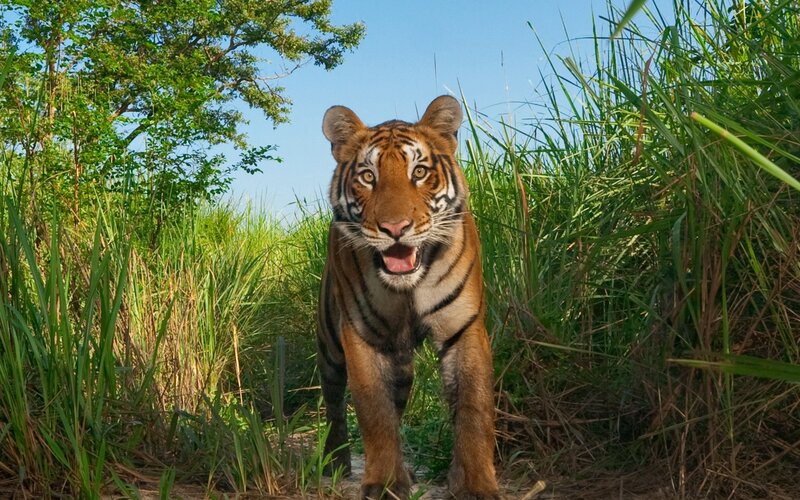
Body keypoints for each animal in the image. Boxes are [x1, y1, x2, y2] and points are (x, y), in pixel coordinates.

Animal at [317, 95, 499, 499]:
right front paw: (384, 482)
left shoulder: (463, 329)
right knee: (334, 404)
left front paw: (475, 483)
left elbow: (473, 409)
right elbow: (373, 412)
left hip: (400, 365)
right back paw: (335, 463)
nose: (395, 228)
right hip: (331, 346)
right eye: (368, 176)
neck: (408, 289)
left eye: (419, 172)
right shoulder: (361, 336)